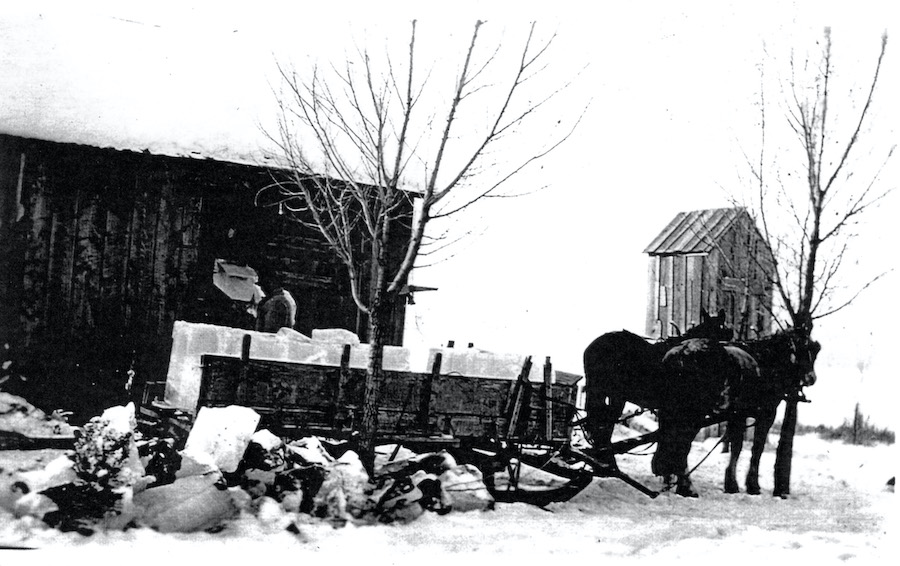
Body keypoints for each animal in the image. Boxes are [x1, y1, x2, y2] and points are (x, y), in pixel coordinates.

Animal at [652, 330, 820, 500]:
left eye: (815, 350)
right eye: (801, 349)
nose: (811, 378)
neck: (765, 362)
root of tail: (681, 352)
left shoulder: (736, 415)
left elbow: (736, 446)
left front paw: (731, 483)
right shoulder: (766, 414)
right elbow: (756, 448)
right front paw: (751, 485)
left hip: (671, 410)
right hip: (694, 413)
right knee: (682, 443)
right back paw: (686, 486)